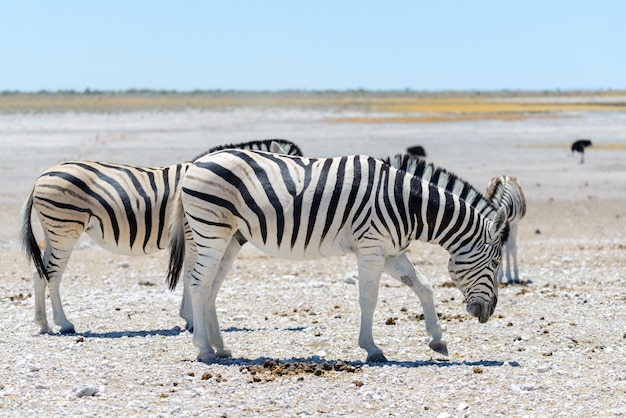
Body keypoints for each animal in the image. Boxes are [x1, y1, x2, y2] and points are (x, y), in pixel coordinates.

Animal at [19, 139, 302, 334]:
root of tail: (40, 177)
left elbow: (189, 276)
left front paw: (188, 318)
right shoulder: (192, 233)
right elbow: (189, 276)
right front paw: (190, 321)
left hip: (53, 231)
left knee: (39, 273)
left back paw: (43, 324)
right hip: (65, 228)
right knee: (53, 274)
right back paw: (64, 323)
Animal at [167, 149, 508, 362]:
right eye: (495, 263)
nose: (488, 312)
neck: (408, 205)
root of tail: (196, 163)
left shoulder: (390, 250)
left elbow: (423, 285)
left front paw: (437, 339)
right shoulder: (371, 247)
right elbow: (368, 299)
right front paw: (372, 348)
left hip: (230, 237)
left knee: (210, 286)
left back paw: (219, 346)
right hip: (212, 230)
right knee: (198, 284)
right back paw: (204, 349)